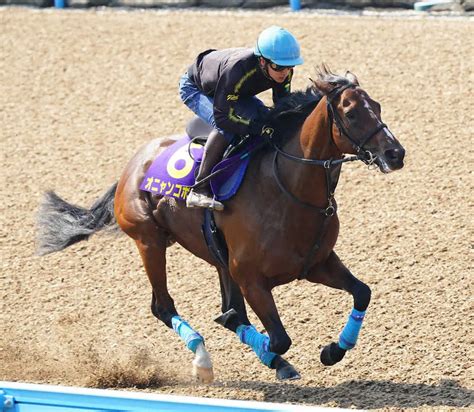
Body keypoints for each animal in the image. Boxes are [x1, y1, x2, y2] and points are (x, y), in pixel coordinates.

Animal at [37, 68, 406, 384]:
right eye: (351, 113)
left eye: (377, 106)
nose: (395, 153)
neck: (289, 190)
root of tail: (134, 163)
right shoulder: (251, 278)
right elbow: (278, 338)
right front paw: (272, 356)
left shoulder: (317, 263)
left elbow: (362, 292)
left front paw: (332, 351)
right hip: (149, 241)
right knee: (163, 306)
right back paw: (203, 360)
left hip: (216, 256)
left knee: (229, 308)